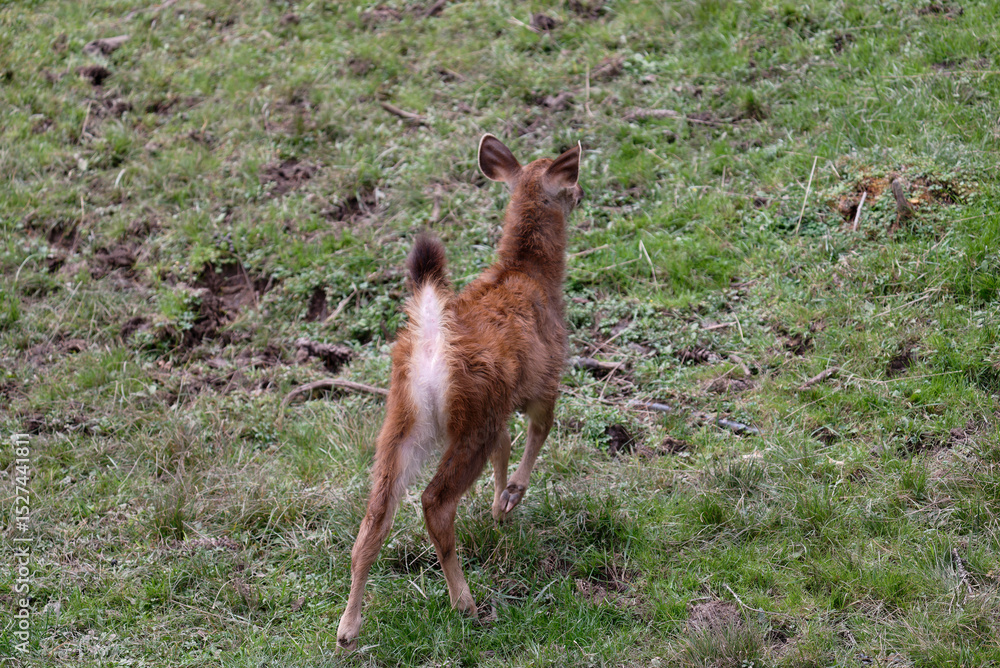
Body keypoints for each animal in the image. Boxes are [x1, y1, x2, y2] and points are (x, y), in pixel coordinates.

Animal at [336, 134, 584, 651]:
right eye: (570, 182)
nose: (582, 194)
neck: (533, 276)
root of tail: (432, 343)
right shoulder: (546, 378)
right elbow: (538, 432)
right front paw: (510, 498)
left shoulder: (504, 406)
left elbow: (505, 448)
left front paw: (497, 509)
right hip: (471, 417)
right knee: (434, 501)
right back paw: (464, 601)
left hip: (401, 423)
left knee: (374, 516)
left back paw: (347, 629)